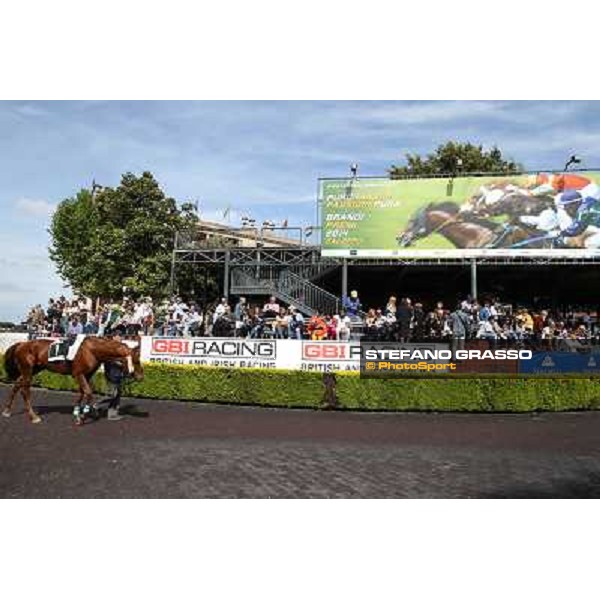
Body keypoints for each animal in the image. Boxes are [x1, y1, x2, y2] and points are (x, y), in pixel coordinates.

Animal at [2, 336, 144, 424]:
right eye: (136, 360)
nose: (141, 377)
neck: (91, 350)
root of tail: (22, 344)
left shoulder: (87, 375)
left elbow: (82, 393)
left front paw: (79, 412)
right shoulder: (78, 374)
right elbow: (88, 392)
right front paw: (82, 416)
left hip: (35, 368)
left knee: (16, 385)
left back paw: (7, 411)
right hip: (27, 369)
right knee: (25, 390)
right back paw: (33, 417)